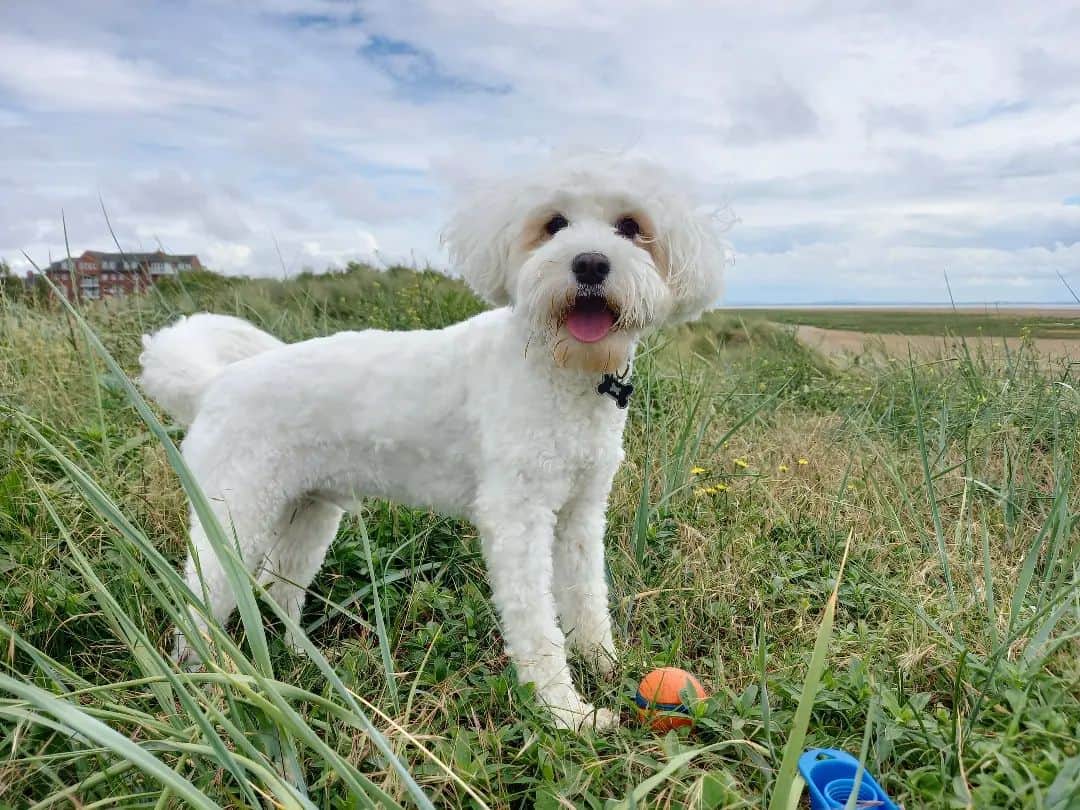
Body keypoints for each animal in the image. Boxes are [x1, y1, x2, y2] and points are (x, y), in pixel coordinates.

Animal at [137, 155, 725, 734]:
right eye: (553, 223)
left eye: (632, 226)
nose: (589, 265)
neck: (558, 369)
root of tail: (213, 384)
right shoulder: (517, 518)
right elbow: (536, 621)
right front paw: (563, 712)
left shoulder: (579, 514)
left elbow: (586, 597)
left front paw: (604, 665)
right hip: (232, 515)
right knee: (200, 600)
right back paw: (206, 685)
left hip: (308, 514)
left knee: (277, 587)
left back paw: (302, 663)